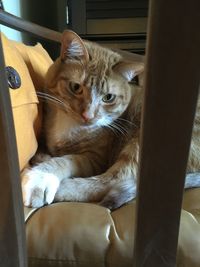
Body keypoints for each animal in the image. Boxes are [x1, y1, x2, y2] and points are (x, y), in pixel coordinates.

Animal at [21, 30, 199, 210]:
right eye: (75, 87)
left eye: (108, 97)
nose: (88, 115)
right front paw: (43, 157)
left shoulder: (95, 159)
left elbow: (66, 161)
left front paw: (41, 176)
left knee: (115, 180)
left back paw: (63, 188)